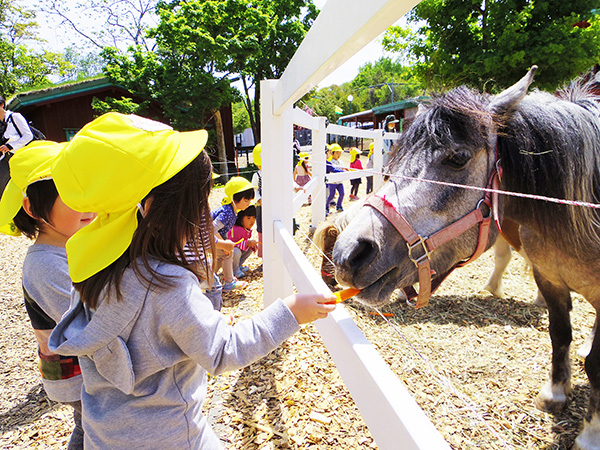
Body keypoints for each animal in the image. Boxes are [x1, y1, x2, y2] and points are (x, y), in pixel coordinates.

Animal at [332, 67, 600, 450]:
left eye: (457, 158)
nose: (348, 253)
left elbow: (596, 365)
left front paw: (590, 434)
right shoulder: (548, 277)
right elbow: (559, 333)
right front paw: (555, 393)